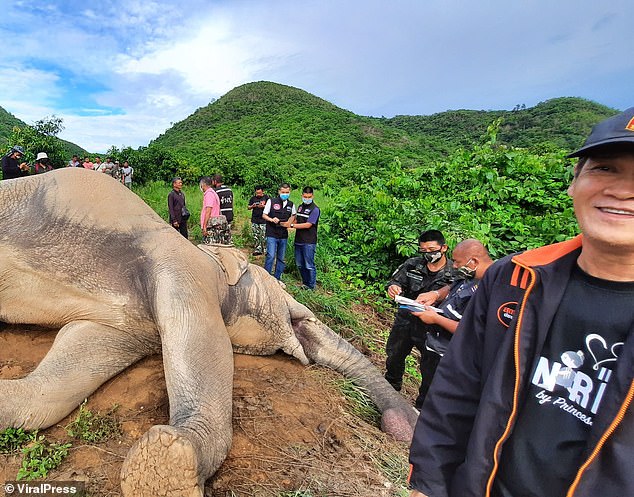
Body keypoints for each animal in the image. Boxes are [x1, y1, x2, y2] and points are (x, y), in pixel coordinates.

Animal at [0, 169, 418, 494]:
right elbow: (207, 348)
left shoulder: (131, 327)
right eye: (282, 287)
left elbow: (60, 378)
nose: (403, 423)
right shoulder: (186, 270)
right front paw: (166, 467)